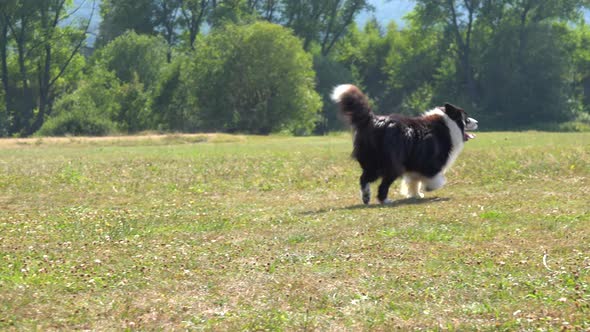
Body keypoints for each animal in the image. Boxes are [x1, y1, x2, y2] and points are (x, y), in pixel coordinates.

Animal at [332, 84, 480, 204]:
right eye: (466, 118)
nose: (477, 122)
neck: (448, 124)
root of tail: (372, 120)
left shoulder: (415, 163)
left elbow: (414, 181)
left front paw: (416, 194)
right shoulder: (431, 161)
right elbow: (435, 177)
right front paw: (431, 187)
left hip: (373, 161)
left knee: (364, 178)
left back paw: (366, 197)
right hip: (392, 163)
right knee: (383, 183)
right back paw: (385, 200)